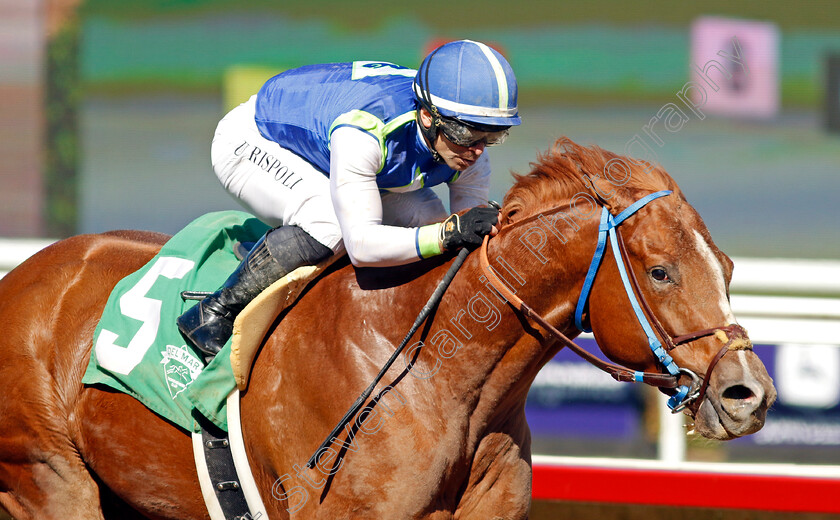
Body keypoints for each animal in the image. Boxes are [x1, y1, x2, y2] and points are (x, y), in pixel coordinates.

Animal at [0, 139, 776, 520]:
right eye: (661, 272)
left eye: (729, 266)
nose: (748, 393)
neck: (440, 374)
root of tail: (25, 276)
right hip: (51, 480)